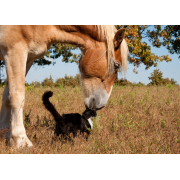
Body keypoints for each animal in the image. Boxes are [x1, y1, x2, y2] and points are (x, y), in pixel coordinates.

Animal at [0, 25, 129, 147]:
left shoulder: (29, 58)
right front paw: (20, 141)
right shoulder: (15, 51)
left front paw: (5, 134)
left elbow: (7, 97)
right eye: (116, 65)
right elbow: (17, 96)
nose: (101, 105)